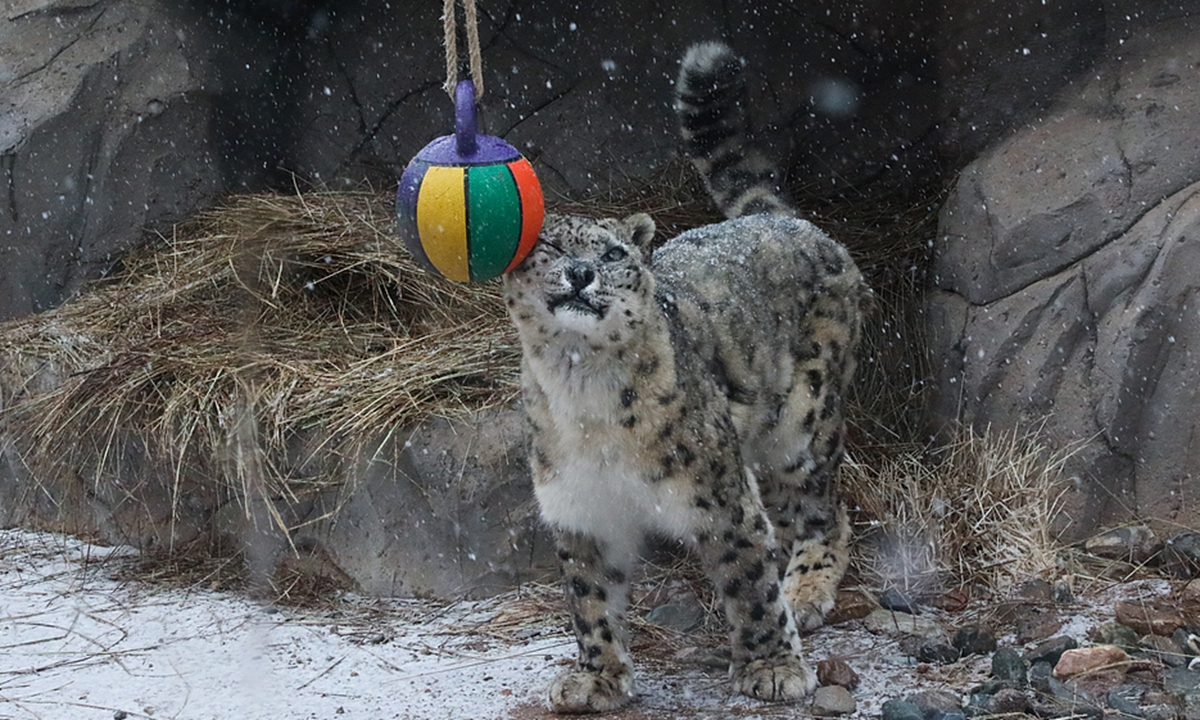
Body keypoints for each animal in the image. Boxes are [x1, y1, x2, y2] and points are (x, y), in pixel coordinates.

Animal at [501, 40, 869, 714]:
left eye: (613, 252)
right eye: (549, 248)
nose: (582, 273)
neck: (584, 391)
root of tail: (790, 224)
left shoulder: (719, 494)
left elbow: (749, 581)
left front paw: (771, 667)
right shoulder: (580, 506)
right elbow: (590, 602)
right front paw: (597, 678)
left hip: (803, 423)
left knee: (821, 511)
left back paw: (804, 591)